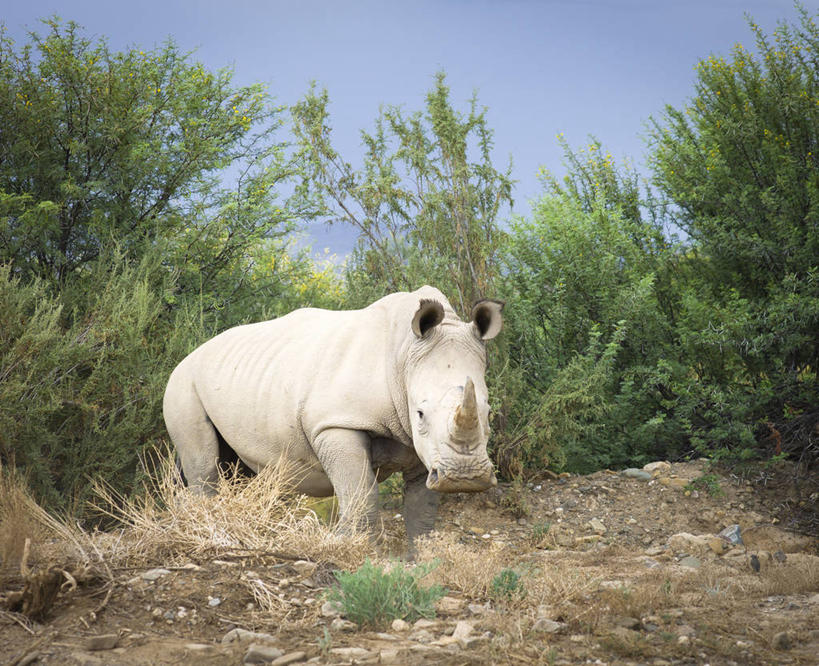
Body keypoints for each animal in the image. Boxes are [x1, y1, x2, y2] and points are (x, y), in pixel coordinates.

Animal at [163, 282, 502, 548]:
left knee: (235, 468)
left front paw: (419, 562)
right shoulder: (336, 424)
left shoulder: (424, 450)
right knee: (205, 467)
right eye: (420, 413)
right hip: (183, 383)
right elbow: (361, 494)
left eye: (488, 413)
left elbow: (422, 511)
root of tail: (190, 353)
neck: (404, 356)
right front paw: (349, 548)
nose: (465, 477)